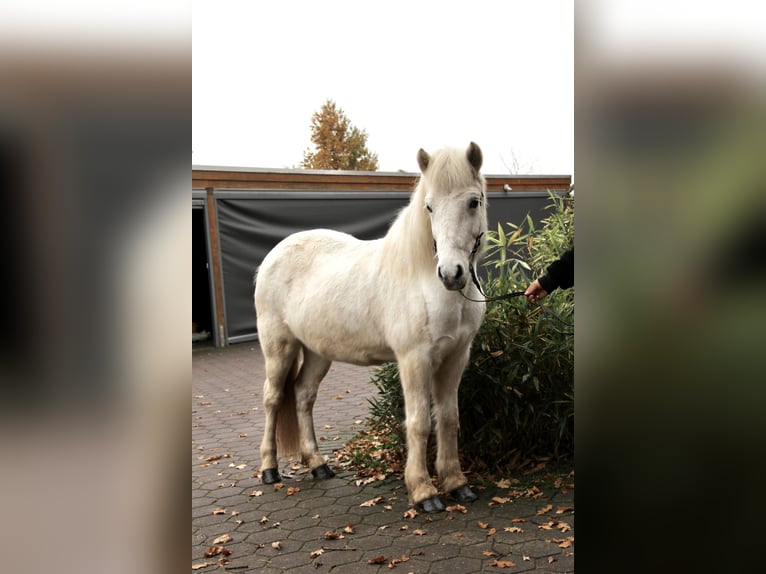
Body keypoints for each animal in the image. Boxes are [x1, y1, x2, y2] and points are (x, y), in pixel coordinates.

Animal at [254, 142, 488, 513]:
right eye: (429, 206)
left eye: (473, 202)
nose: (452, 273)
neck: (423, 279)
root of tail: (274, 256)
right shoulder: (414, 360)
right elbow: (419, 423)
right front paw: (424, 492)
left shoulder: (455, 357)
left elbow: (449, 418)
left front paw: (456, 483)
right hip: (279, 348)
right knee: (273, 399)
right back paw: (269, 470)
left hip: (317, 352)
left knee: (304, 396)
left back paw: (318, 464)